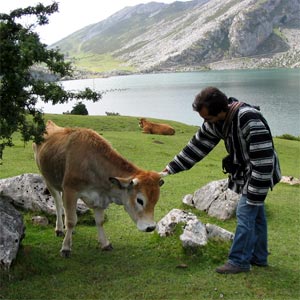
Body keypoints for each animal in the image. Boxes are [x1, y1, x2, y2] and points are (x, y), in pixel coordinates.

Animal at [32, 120, 164, 256]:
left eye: (155, 201)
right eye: (140, 200)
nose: (151, 227)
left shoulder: (99, 197)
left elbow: (99, 221)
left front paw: (105, 243)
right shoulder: (70, 190)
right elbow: (71, 220)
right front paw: (66, 247)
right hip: (48, 179)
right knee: (58, 204)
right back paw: (59, 229)